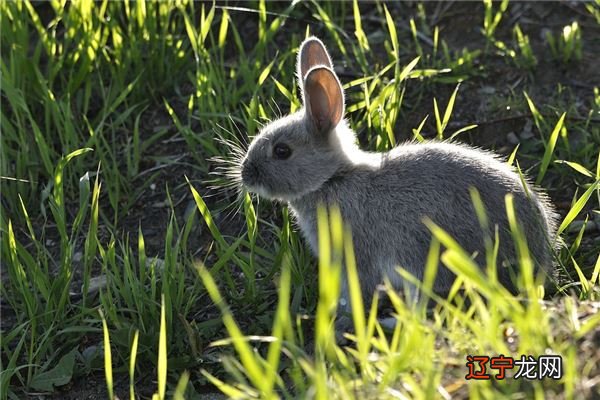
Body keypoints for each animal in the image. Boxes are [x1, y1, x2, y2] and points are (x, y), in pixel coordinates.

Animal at [238, 35, 556, 324]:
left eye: (282, 151)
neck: (332, 179)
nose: (245, 173)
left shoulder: (356, 257)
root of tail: (537, 261)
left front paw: (340, 323)